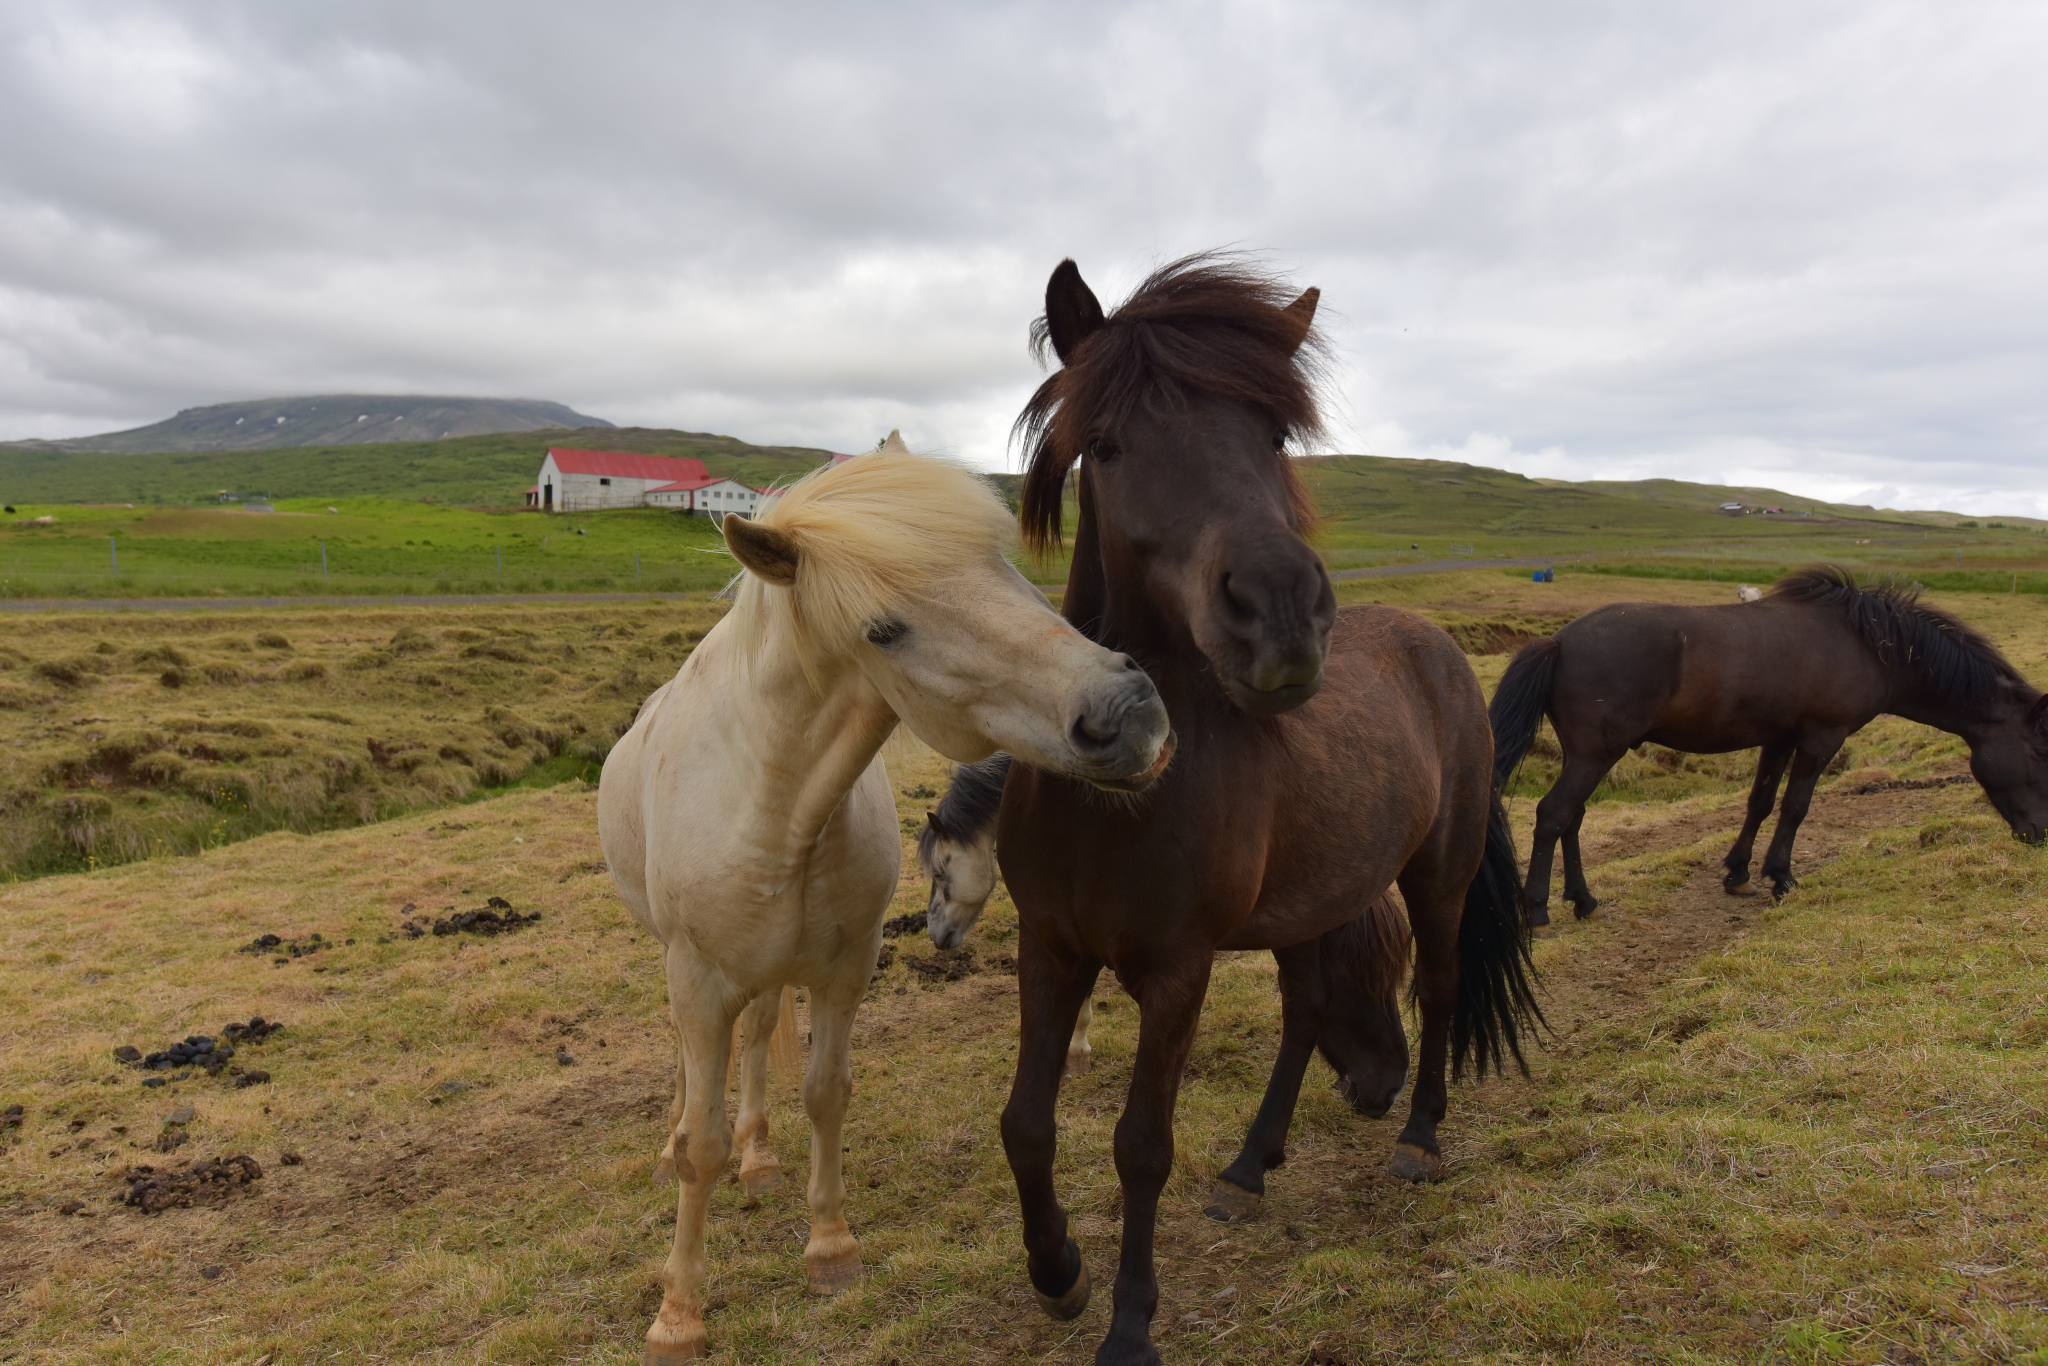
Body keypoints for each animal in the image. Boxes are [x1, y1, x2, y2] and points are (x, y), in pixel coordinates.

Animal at [598, 444, 1171, 1359]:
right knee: (695, 1074)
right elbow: (700, 1145)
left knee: (760, 1039)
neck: (778, 805)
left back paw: (762, 1159)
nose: (1127, 712)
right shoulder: (699, 983)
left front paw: (830, 1247)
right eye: (883, 629)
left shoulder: (843, 970)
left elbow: (825, 1092)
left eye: (1001, 560)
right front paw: (678, 1314)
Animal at [1490, 565, 2048, 917]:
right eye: (2039, 750)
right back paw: (1536, 908)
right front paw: (1781, 877)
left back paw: (1583, 900)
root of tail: (1558, 641)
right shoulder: (1821, 739)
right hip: (1594, 755)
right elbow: (1796, 807)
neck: (1870, 645)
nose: (2039, 835)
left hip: (1587, 755)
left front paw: (1737, 872)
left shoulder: (1779, 740)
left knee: (1573, 818)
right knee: (1554, 814)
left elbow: (1759, 803)